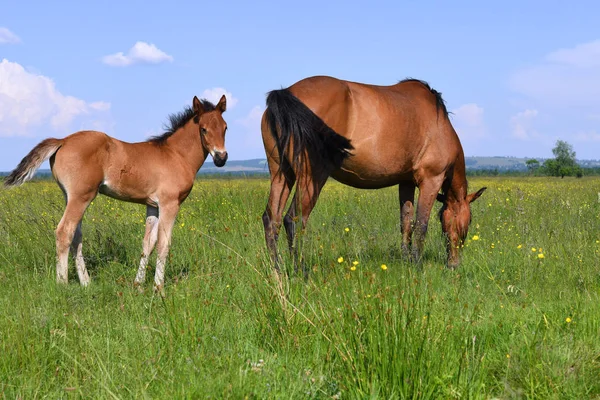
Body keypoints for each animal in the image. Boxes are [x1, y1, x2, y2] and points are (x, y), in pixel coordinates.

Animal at [4, 94, 230, 290]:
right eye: (203, 129)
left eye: (225, 128)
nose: (221, 158)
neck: (176, 155)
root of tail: (63, 140)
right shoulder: (169, 204)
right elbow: (163, 244)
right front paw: (158, 288)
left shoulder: (152, 206)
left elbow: (148, 244)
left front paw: (138, 285)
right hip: (81, 197)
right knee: (64, 232)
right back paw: (63, 284)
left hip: (71, 197)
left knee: (76, 235)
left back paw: (86, 283)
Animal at [260, 76, 486, 274]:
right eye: (468, 221)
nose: (454, 265)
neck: (440, 125)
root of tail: (287, 93)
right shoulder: (431, 180)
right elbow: (421, 225)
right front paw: (417, 264)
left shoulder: (405, 182)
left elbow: (406, 223)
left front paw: (406, 261)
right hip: (311, 177)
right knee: (294, 220)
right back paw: (300, 270)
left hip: (282, 175)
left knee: (272, 220)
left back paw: (276, 269)